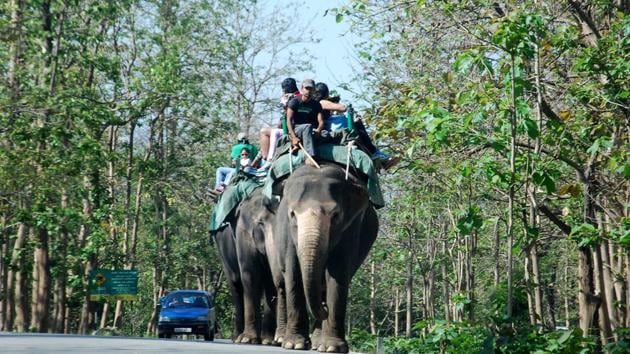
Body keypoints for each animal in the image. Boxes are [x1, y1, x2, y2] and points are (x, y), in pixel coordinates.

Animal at [272, 164, 380, 354]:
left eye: (336, 215)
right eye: (292, 214)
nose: (325, 308)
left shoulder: (352, 226)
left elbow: (338, 272)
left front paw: (332, 347)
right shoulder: (287, 231)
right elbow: (293, 272)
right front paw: (295, 344)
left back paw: (317, 343)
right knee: (282, 285)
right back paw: (282, 338)